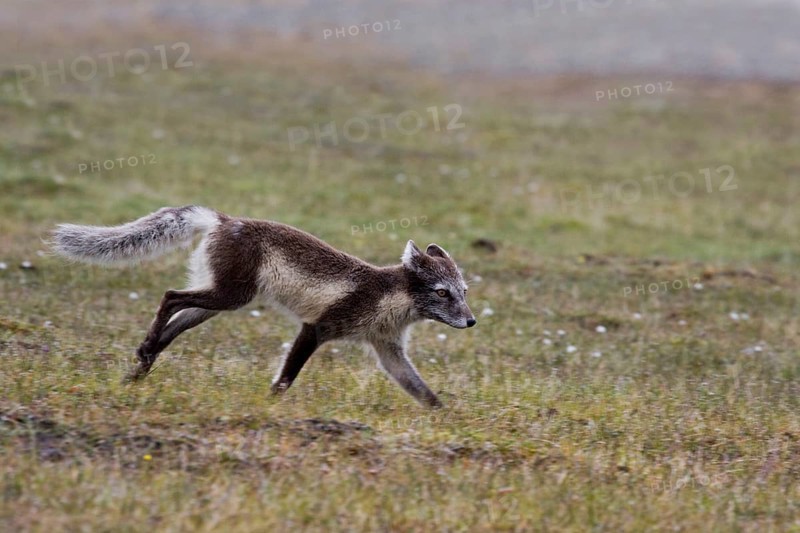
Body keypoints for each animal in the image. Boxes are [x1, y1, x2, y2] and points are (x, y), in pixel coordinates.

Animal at [51, 206, 476, 407]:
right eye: (442, 293)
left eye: (464, 291)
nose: (472, 321)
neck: (391, 299)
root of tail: (224, 220)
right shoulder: (317, 327)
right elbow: (286, 377)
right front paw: (269, 405)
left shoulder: (387, 349)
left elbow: (424, 393)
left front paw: (448, 419)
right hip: (230, 297)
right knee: (170, 295)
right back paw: (144, 353)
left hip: (219, 301)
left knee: (175, 322)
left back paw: (140, 364)